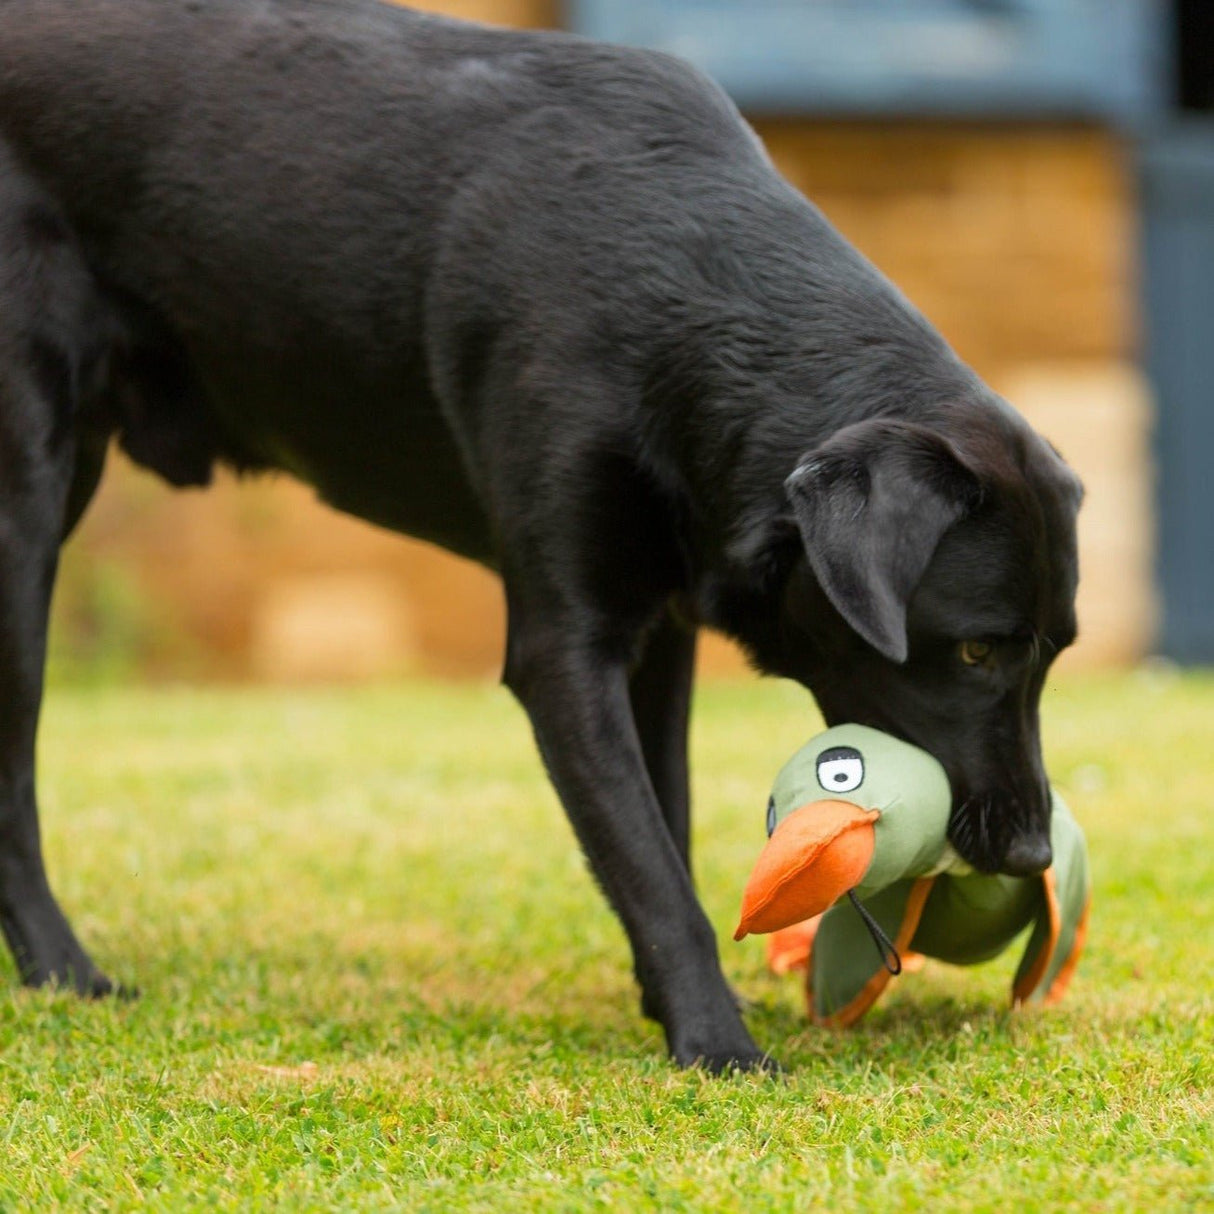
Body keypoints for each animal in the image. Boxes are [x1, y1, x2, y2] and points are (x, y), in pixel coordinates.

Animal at [0, 0, 1082, 1068]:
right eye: (976, 649)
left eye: (1052, 655)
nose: (1032, 850)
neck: (686, 302)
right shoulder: (565, 649)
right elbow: (646, 856)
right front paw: (715, 1042)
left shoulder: (659, 633)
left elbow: (663, 823)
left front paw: (674, 1002)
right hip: (27, 521)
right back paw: (64, 971)